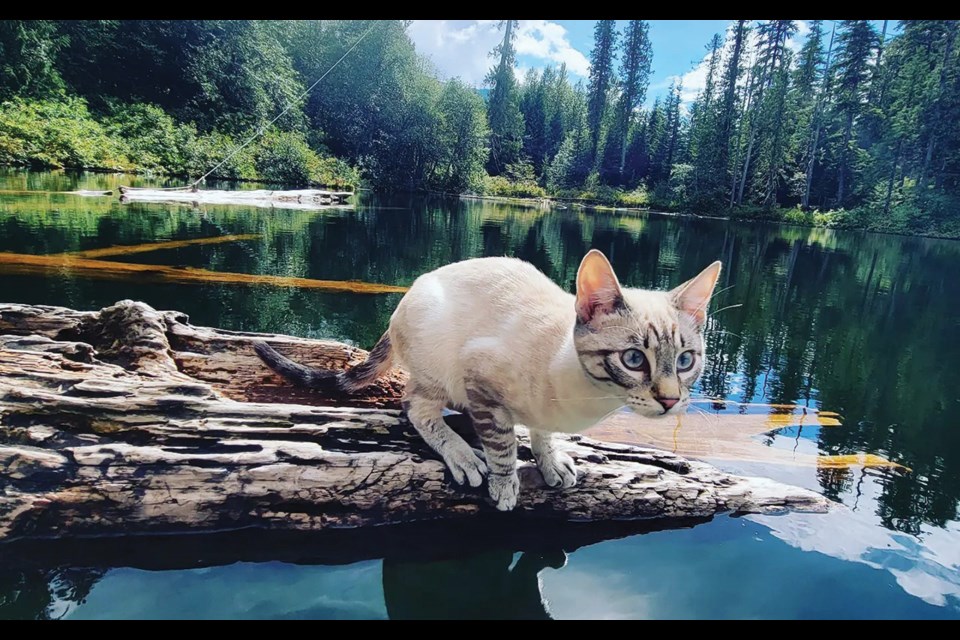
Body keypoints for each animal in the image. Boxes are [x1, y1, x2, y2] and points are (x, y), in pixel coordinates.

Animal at [255, 249, 720, 510]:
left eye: (685, 361)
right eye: (633, 359)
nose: (670, 400)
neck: (586, 402)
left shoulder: (540, 415)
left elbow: (541, 435)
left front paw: (552, 462)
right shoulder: (481, 378)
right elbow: (501, 446)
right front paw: (505, 485)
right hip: (438, 362)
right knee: (414, 406)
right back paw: (462, 454)